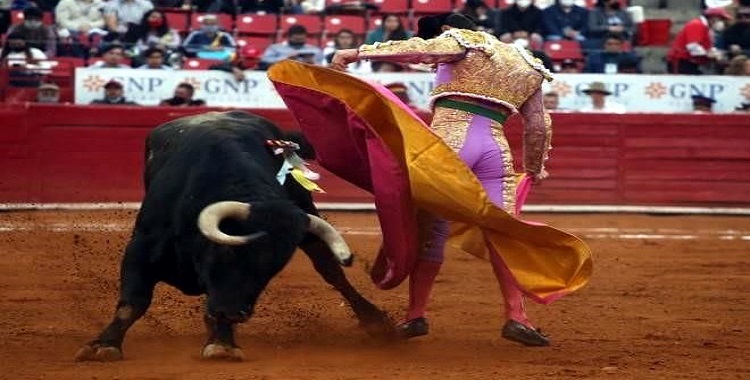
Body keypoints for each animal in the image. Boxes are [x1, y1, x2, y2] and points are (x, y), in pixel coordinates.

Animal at [76, 110, 400, 362]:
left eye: (273, 267)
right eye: (230, 251)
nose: (235, 313)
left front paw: (222, 343)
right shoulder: (141, 249)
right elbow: (133, 302)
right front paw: (103, 346)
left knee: (331, 271)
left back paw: (375, 322)